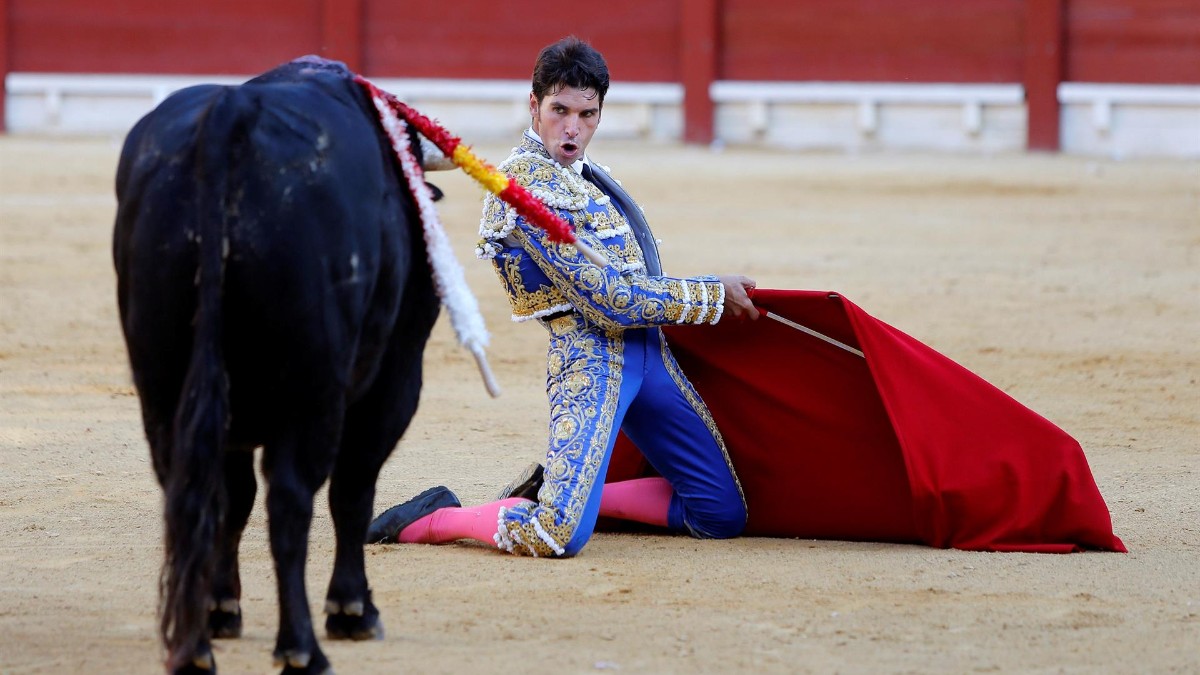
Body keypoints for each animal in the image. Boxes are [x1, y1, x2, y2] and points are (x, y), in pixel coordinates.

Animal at [111, 56, 441, 667]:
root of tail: (230, 113)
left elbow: (233, 499)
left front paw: (222, 608)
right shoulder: (393, 379)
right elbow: (352, 489)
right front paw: (353, 609)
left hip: (162, 386)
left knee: (188, 494)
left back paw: (195, 644)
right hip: (313, 393)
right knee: (292, 498)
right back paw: (302, 647)